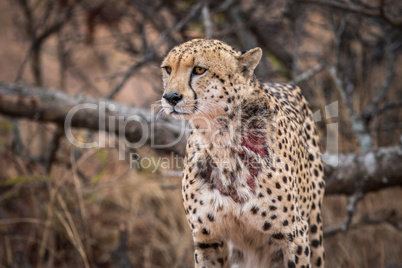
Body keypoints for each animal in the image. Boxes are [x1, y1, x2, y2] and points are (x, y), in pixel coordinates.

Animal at [159, 38, 324, 266]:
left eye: (199, 69)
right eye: (168, 69)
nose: (170, 97)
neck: (220, 139)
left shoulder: (294, 236)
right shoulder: (208, 239)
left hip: (314, 230)